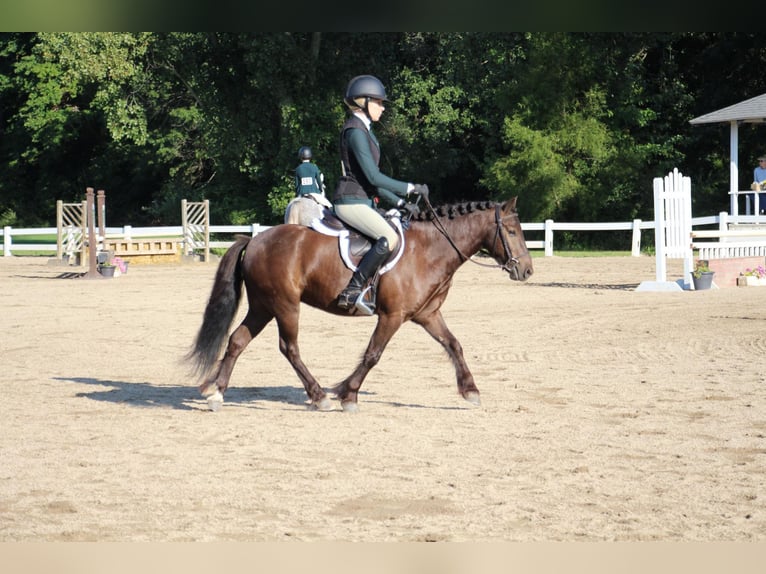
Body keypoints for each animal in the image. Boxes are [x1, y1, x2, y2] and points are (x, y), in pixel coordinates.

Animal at [188, 199, 536, 414]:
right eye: (511, 231)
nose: (527, 270)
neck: (429, 250)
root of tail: (255, 240)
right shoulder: (393, 316)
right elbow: (373, 355)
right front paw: (348, 393)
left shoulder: (427, 314)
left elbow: (454, 344)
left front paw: (471, 390)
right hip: (285, 306)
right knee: (289, 348)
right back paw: (319, 396)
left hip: (263, 306)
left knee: (237, 340)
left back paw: (216, 392)